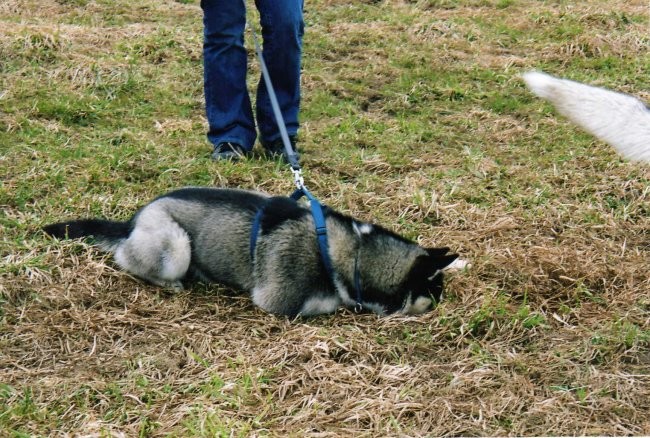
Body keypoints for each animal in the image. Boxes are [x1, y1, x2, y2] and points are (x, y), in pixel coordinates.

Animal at [43, 186, 464, 316]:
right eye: (434, 294)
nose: (444, 309)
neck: (354, 252)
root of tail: (134, 219)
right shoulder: (277, 302)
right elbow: (331, 302)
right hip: (175, 246)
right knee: (125, 259)